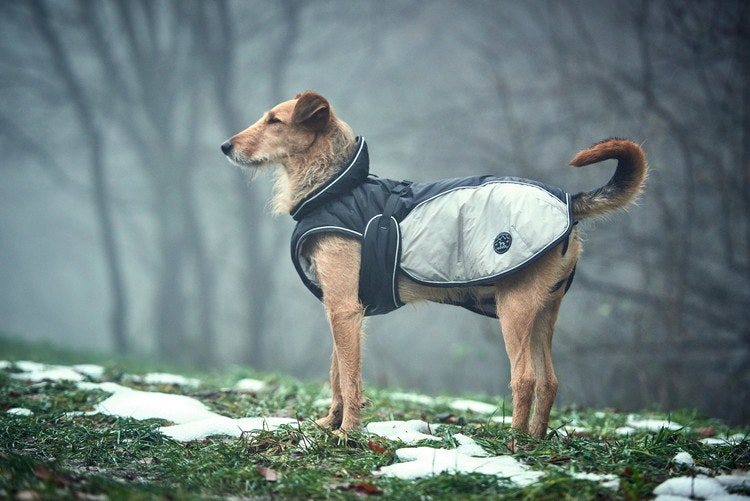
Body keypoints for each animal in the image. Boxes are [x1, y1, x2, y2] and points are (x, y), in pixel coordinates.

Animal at [220, 92, 648, 440]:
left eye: (275, 121)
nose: (225, 146)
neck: (337, 186)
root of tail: (570, 201)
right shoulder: (339, 309)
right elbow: (337, 371)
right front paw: (330, 422)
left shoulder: (343, 308)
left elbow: (350, 377)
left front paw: (347, 431)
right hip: (545, 312)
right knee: (550, 381)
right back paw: (536, 441)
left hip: (514, 307)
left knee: (525, 378)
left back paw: (514, 442)